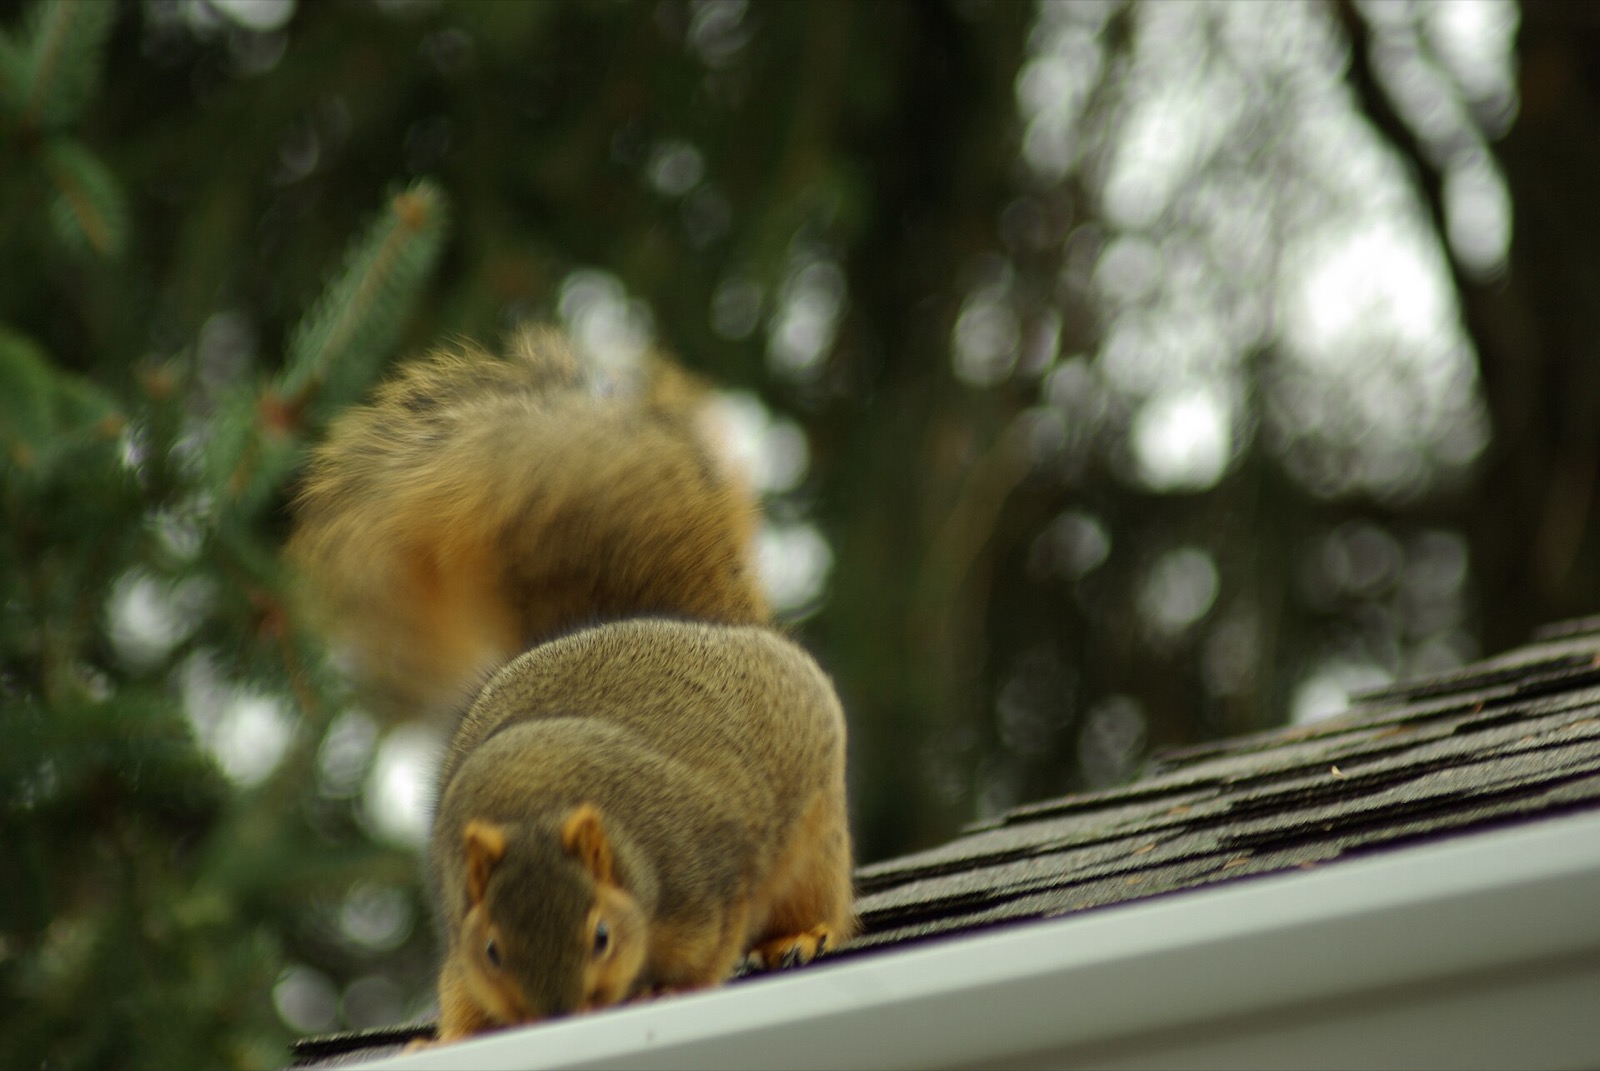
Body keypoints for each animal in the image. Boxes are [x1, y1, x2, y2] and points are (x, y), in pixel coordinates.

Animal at [287, 325, 857, 1043]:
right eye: (493, 949)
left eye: (602, 936)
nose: (557, 1015)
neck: (540, 805)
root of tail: (690, 623)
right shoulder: (462, 933)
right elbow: (461, 997)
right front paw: (439, 1039)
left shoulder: (712, 884)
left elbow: (707, 956)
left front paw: (669, 991)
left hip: (816, 831)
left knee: (817, 893)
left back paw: (802, 934)